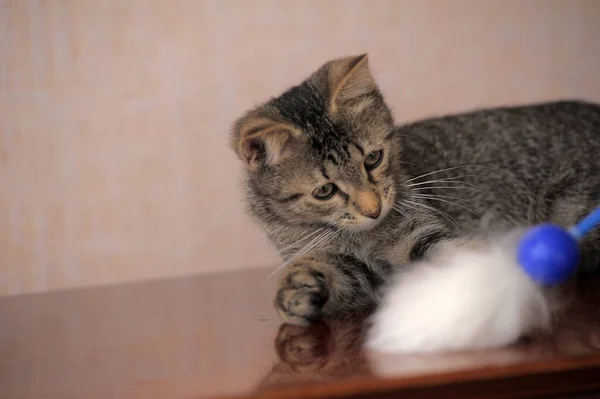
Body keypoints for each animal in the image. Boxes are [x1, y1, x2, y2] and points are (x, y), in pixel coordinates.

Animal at [230, 54, 600, 354]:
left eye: (373, 159)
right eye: (325, 191)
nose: (373, 208)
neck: (361, 238)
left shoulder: (419, 232)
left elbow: (450, 252)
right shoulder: (351, 268)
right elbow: (325, 270)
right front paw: (295, 292)